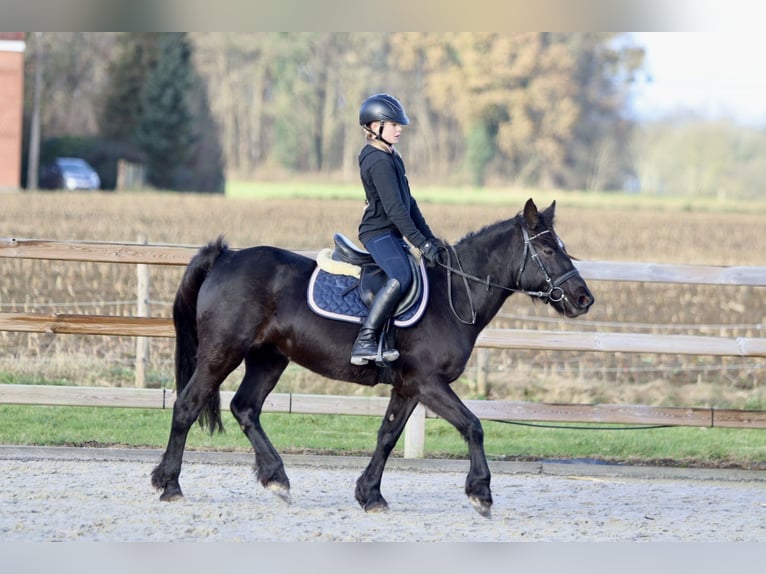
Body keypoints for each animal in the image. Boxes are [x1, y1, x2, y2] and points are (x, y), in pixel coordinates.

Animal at [150, 198, 592, 516]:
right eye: (547, 249)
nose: (584, 299)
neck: (452, 296)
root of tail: (225, 256)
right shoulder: (429, 382)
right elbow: (473, 426)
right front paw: (480, 493)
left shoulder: (410, 386)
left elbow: (387, 435)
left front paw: (370, 495)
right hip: (221, 353)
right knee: (188, 405)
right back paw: (170, 485)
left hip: (268, 358)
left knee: (245, 408)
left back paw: (276, 478)